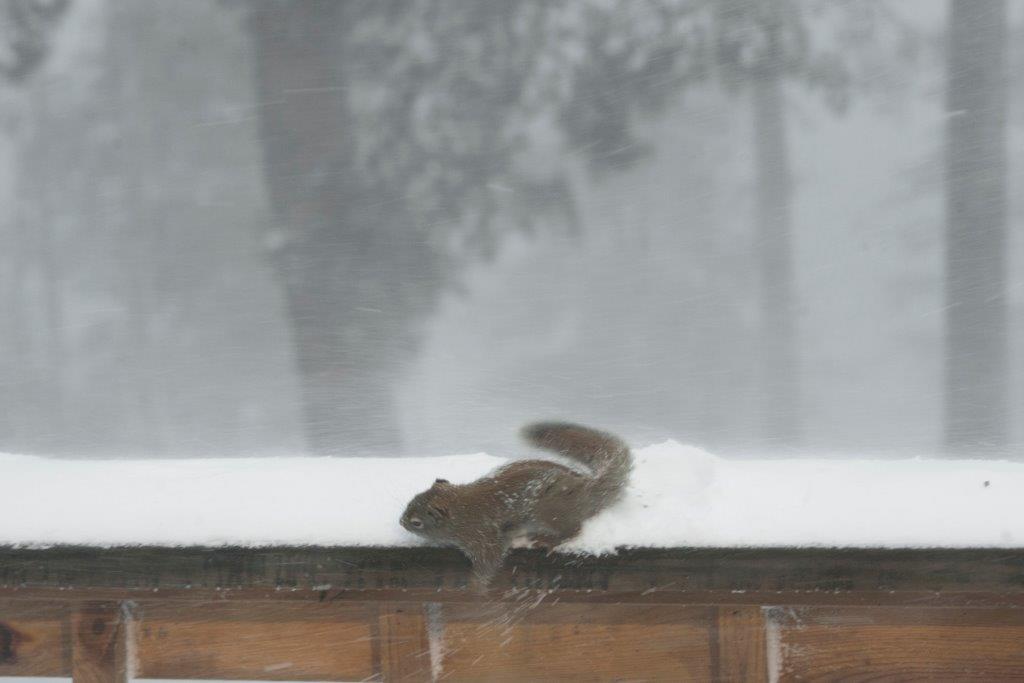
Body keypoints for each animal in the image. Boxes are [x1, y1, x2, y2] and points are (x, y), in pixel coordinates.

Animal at [399, 421, 632, 591]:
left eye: (417, 522)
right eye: (412, 499)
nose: (401, 522)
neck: (460, 509)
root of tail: (587, 490)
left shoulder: (483, 537)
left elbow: (490, 560)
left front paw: (476, 584)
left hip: (548, 510)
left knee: (573, 529)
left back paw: (547, 539)